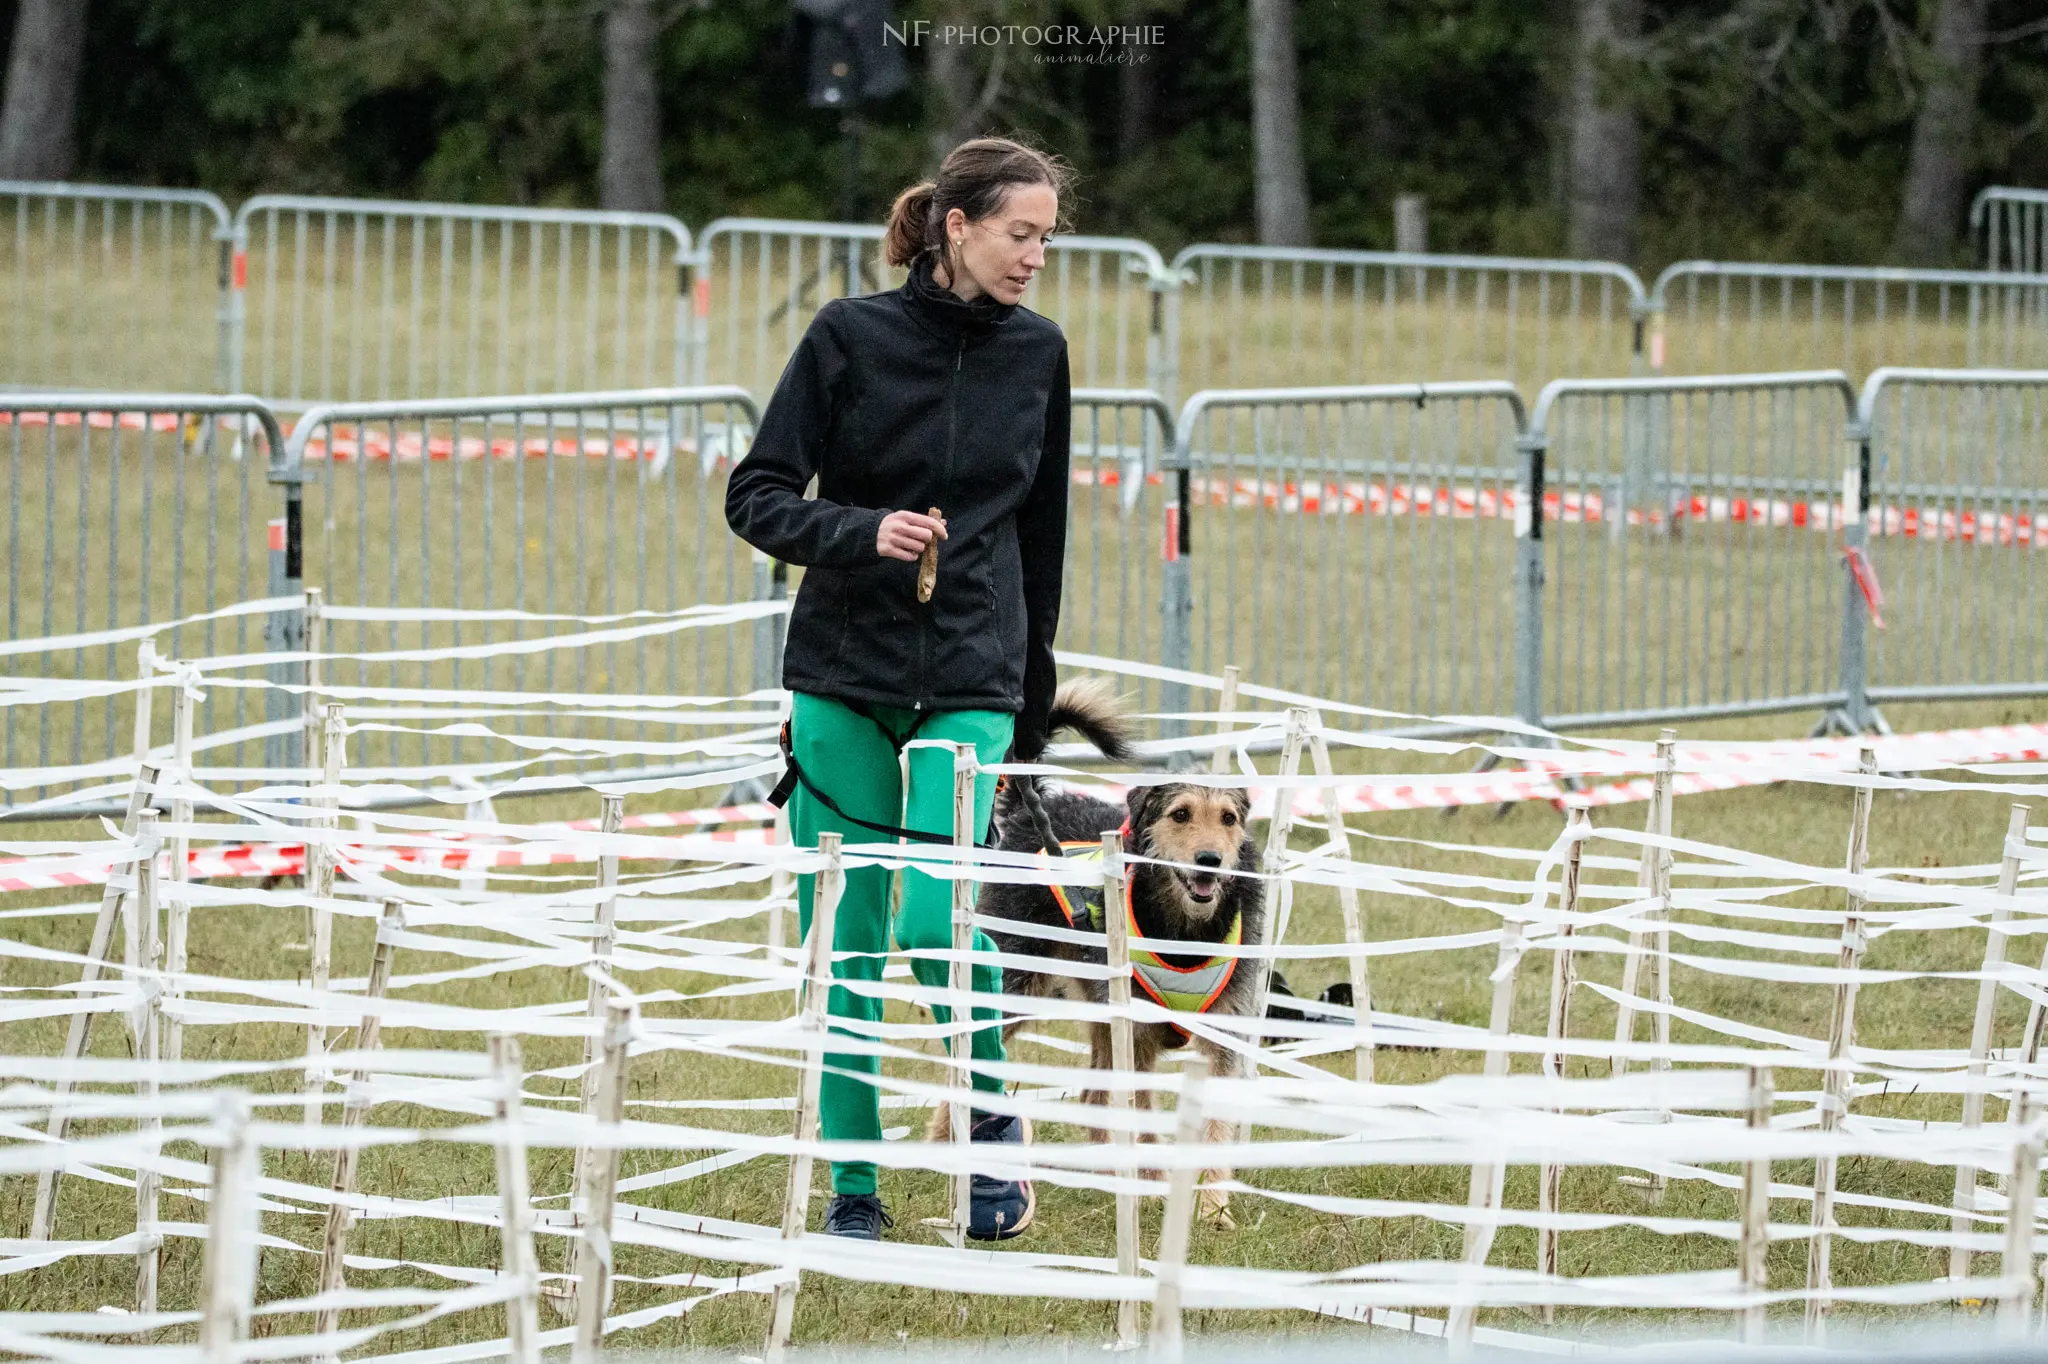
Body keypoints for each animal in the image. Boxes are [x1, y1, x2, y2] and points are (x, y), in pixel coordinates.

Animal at [933, 675, 1253, 1220]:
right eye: (1180, 814)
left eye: (1228, 818)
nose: (1209, 860)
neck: (1184, 933)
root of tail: (1031, 813)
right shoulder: (1138, 1035)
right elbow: (1144, 1118)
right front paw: (1155, 1187)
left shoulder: (1222, 1033)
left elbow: (1211, 1127)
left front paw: (1213, 1208)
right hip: (1017, 980)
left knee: (1093, 1096)